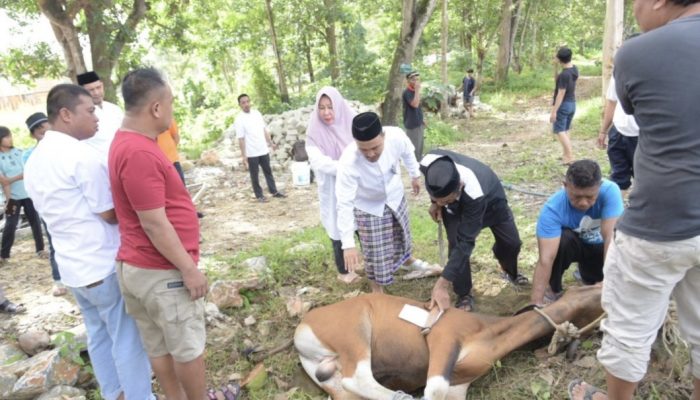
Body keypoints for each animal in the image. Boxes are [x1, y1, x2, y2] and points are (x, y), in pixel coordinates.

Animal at [294, 286, 600, 398]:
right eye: (589, 289)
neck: (486, 329)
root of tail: (301, 328)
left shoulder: (459, 384)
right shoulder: (443, 339)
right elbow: (434, 391)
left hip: (333, 381)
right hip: (355, 331)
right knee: (356, 377)